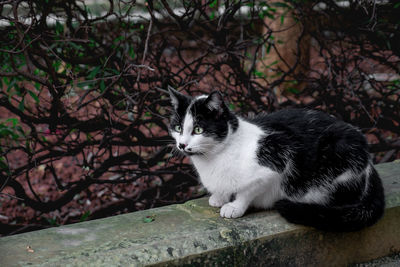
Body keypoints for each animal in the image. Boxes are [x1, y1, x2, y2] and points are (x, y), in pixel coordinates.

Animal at [166, 88, 384, 232]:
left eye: (198, 129)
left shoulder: (278, 156)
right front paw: (219, 197)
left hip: (339, 151)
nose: (182, 145)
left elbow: (247, 190)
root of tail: (369, 164)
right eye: (178, 128)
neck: (214, 157)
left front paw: (234, 207)